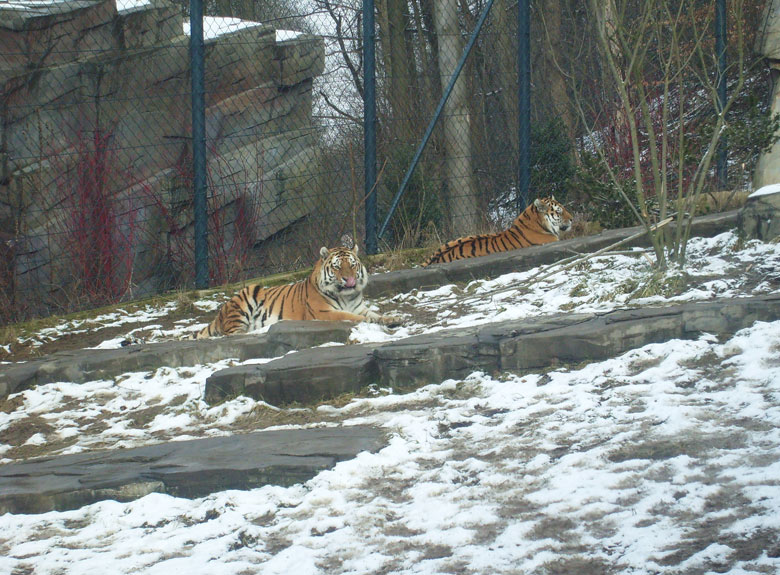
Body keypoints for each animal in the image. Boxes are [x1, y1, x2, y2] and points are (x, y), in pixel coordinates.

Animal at [195, 243, 402, 338]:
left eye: (352, 265)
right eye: (337, 267)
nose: (349, 279)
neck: (346, 295)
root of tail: (219, 314)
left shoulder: (360, 307)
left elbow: (376, 314)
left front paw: (393, 319)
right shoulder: (324, 312)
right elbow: (354, 317)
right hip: (248, 294)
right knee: (234, 333)